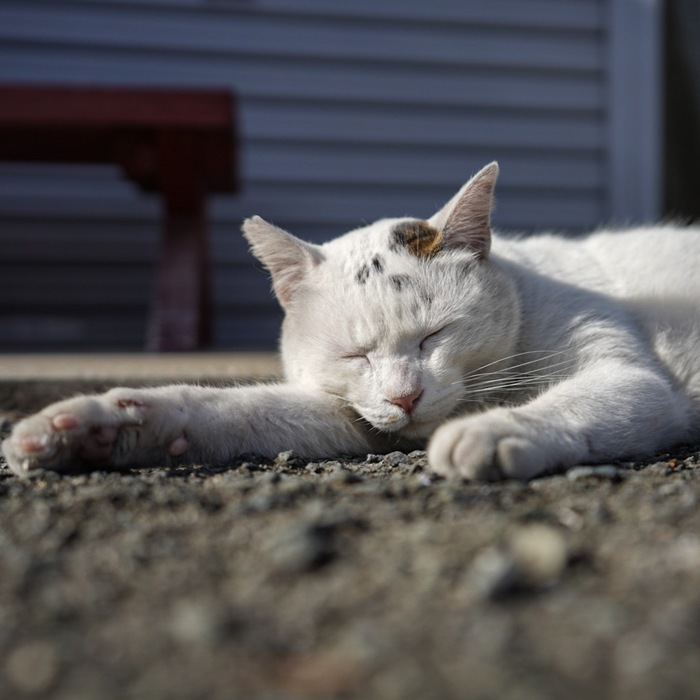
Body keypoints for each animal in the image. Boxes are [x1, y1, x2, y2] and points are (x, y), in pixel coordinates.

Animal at [4, 163, 700, 482]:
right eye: (355, 356)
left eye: (434, 336)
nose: (405, 396)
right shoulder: (347, 415)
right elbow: (226, 409)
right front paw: (92, 427)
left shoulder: (630, 380)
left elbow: (569, 402)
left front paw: (492, 431)